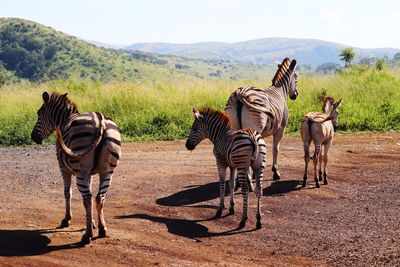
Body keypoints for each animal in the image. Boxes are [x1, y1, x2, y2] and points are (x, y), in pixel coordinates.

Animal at [30, 92, 121, 245]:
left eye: (39, 114)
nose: (33, 137)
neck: (65, 119)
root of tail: (100, 121)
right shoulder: (91, 173)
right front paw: (93, 222)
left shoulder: (63, 168)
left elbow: (67, 192)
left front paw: (66, 219)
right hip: (107, 171)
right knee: (99, 197)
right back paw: (102, 229)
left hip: (81, 171)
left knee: (87, 198)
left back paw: (87, 235)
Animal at [225, 57, 296, 187]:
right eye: (296, 77)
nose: (295, 95)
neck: (279, 90)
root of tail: (240, 93)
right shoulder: (281, 128)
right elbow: (276, 148)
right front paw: (275, 173)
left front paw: (253, 173)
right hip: (253, 127)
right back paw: (248, 182)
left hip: (235, 127)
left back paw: (239, 180)